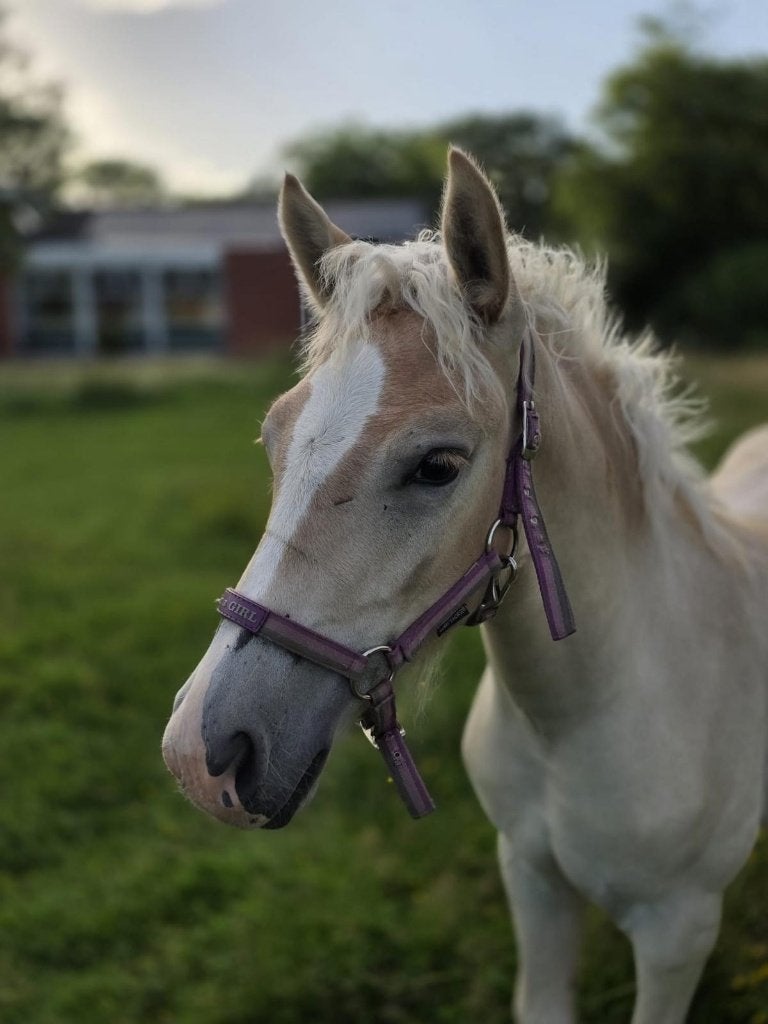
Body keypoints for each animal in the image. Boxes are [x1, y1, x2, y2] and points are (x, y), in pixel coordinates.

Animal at [162, 147, 768, 1023]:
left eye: (438, 464)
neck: (585, 719)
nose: (197, 757)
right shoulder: (532, 879)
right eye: (274, 439)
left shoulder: (677, 930)